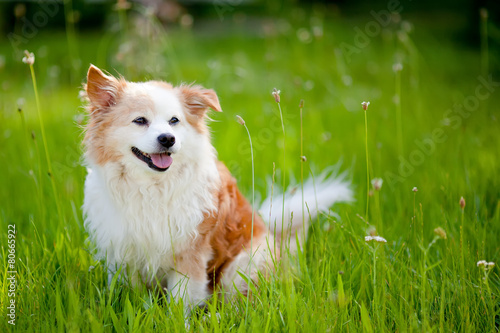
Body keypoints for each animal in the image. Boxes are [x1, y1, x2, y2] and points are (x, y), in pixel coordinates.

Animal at [82, 65, 352, 312]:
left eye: (174, 121)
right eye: (139, 120)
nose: (168, 139)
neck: (151, 186)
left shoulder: (190, 255)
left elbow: (181, 303)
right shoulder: (124, 253)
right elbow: (134, 296)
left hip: (242, 266)